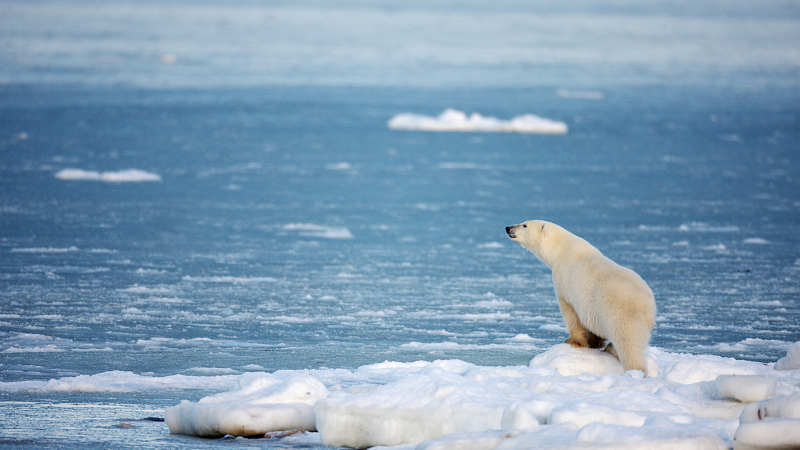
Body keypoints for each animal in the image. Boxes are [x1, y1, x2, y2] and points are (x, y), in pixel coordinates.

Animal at [506, 220, 656, 374]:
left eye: (524, 225)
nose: (508, 228)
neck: (561, 249)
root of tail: (647, 305)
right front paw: (594, 342)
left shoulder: (564, 282)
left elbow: (571, 314)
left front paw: (572, 341)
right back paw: (610, 349)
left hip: (621, 312)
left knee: (628, 342)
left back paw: (634, 370)